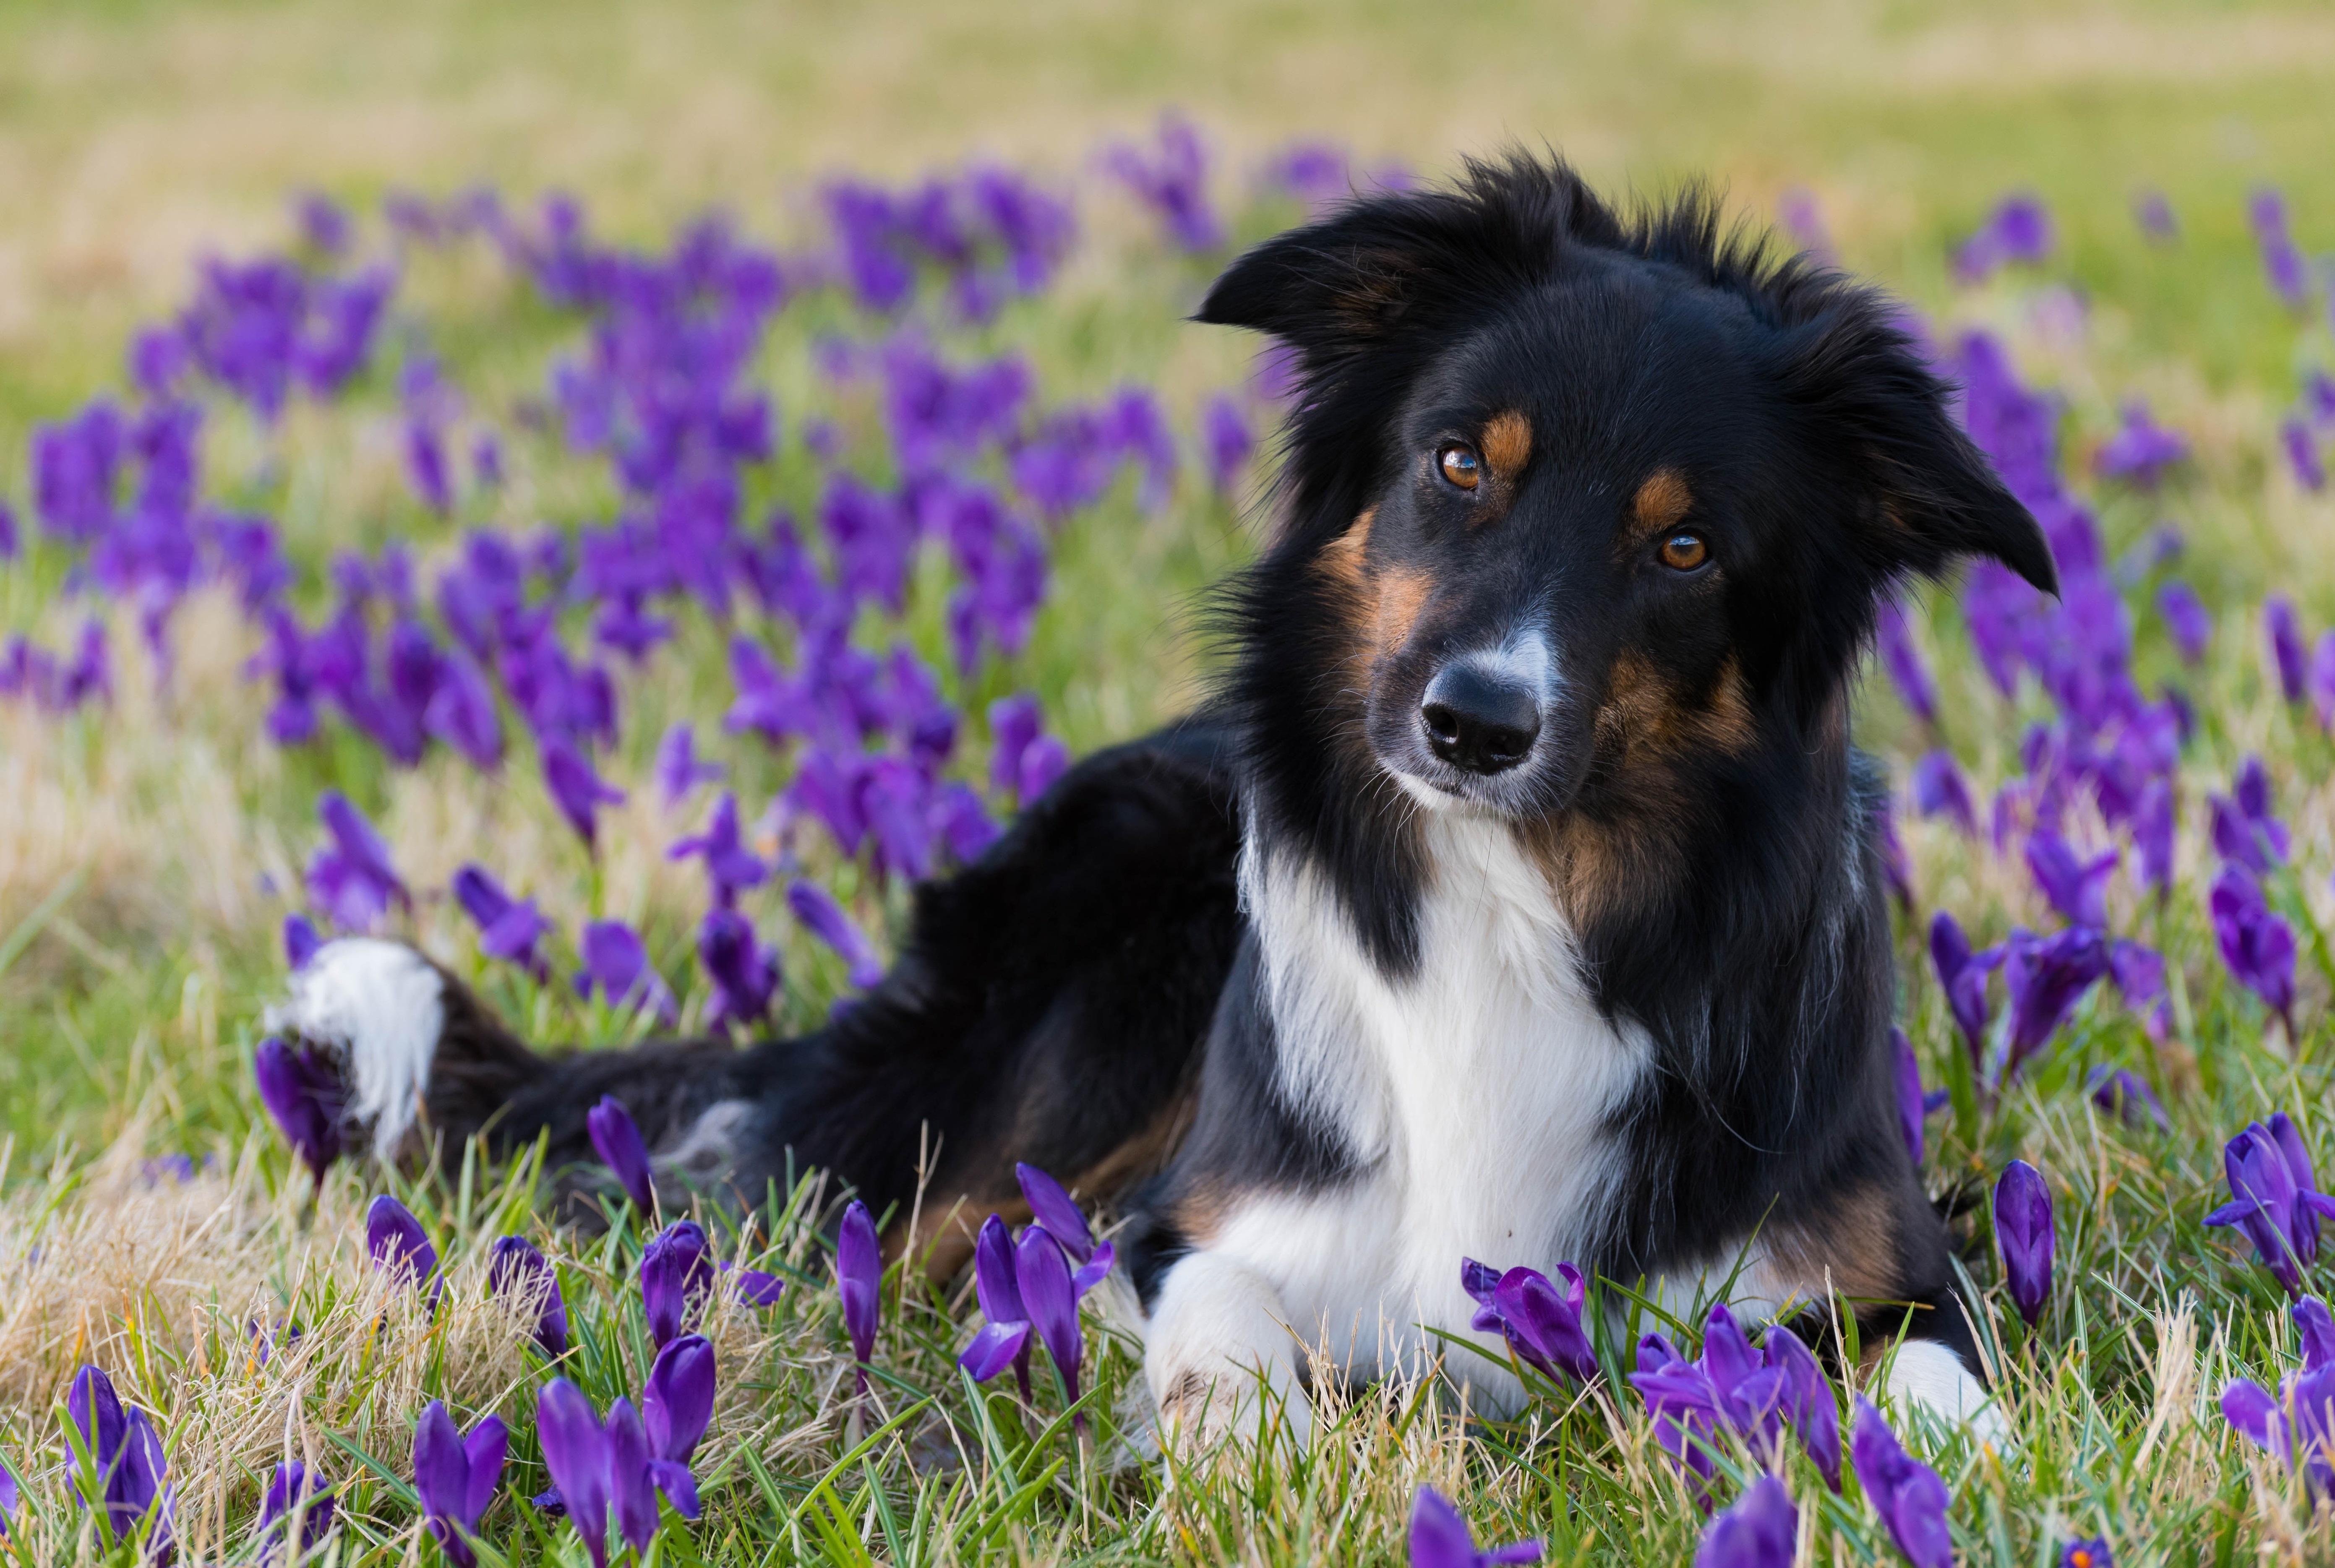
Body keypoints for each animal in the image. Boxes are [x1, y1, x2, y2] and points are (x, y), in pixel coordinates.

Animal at [268, 156, 2064, 1446]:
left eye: (1682, 545)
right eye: (1457, 463)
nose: (1473, 721)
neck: (1515, 894)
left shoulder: (1871, 1267)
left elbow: (1942, 1384)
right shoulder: (1199, 1213)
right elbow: (1220, 1315)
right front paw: (1234, 1443)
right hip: (1092, 990)